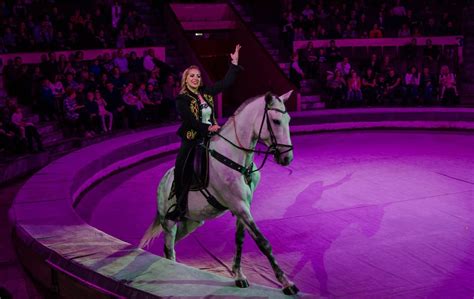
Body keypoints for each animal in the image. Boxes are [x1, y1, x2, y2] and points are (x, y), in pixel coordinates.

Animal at [139, 90, 298, 296]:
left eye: (289, 119)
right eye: (277, 121)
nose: (287, 158)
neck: (235, 157)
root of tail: (162, 183)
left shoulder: (242, 208)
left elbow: (239, 240)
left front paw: (239, 275)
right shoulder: (239, 206)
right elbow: (263, 243)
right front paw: (286, 283)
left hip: (192, 222)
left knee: (172, 245)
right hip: (169, 222)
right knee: (169, 245)